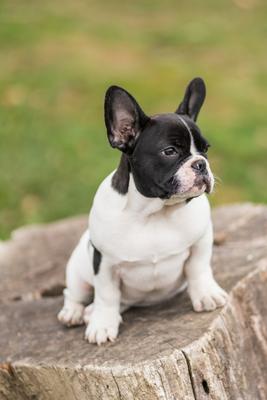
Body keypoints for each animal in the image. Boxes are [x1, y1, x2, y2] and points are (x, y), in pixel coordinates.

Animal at [58, 77, 228, 344]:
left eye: (206, 149)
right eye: (170, 151)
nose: (201, 164)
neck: (154, 212)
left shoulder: (201, 240)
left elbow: (199, 268)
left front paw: (206, 295)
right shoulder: (104, 263)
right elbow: (106, 295)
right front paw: (102, 325)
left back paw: (89, 311)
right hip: (77, 270)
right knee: (74, 292)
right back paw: (74, 312)